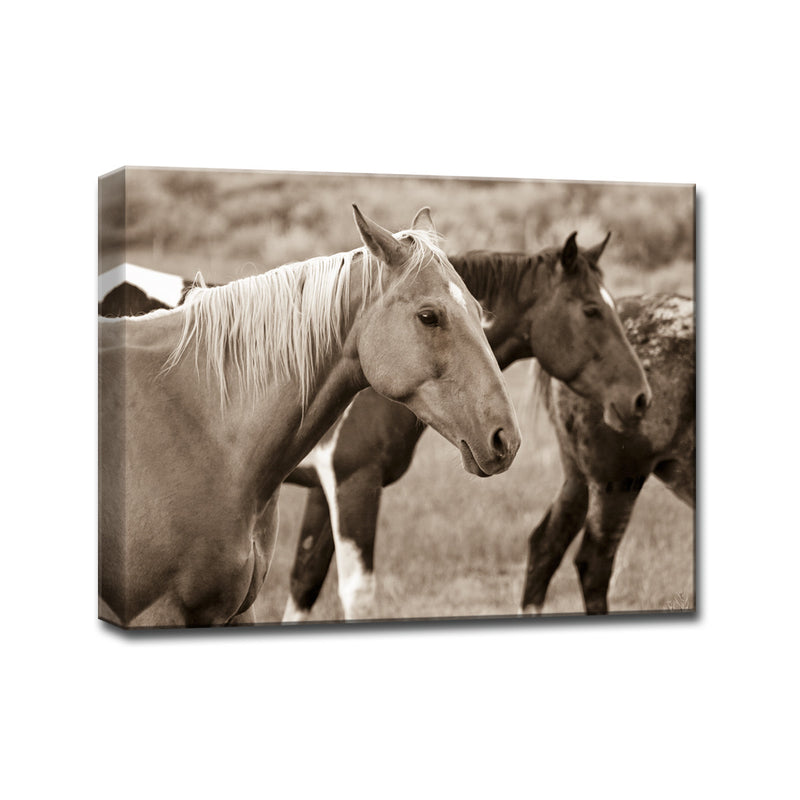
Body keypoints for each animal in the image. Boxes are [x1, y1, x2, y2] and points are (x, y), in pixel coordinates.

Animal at [282, 232, 653, 621]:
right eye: (591, 310)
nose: (640, 397)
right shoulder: (354, 483)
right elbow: (355, 592)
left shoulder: (324, 489)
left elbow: (304, 582)